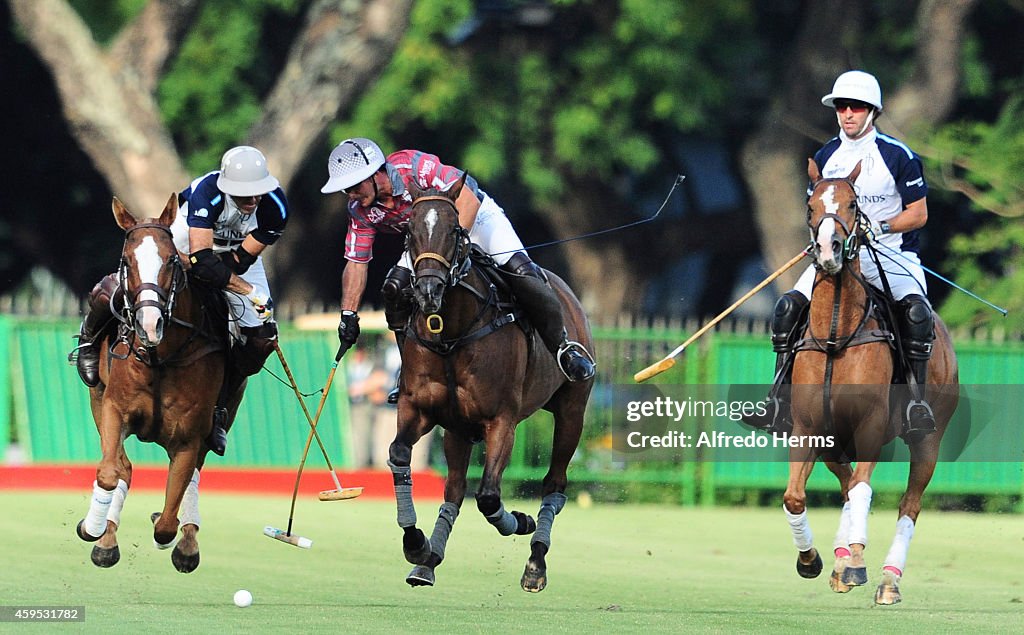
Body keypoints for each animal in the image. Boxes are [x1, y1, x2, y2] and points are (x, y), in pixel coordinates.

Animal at [74, 195, 234, 573]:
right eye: (126, 260)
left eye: (172, 259)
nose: (150, 324)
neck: (160, 357)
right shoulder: (114, 409)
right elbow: (111, 472)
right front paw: (92, 529)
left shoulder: (189, 436)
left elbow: (168, 521)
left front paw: (175, 537)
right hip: (96, 397)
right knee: (122, 466)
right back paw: (104, 537)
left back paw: (185, 541)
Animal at [385, 177, 598, 589]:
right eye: (409, 231)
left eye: (454, 229)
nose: (428, 291)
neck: (451, 333)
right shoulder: (418, 409)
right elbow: (399, 454)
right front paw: (415, 545)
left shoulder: (502, 420)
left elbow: (488, 495)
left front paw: (521, 520)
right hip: (457, 430)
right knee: (454, 488)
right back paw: (428, 562)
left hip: (572, 410)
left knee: (555, 483)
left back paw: (536, 562)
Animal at [782, 159, 958, 606]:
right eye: (810, 206)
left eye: (852, 203)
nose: (827, 251)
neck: (835, 335)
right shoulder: (809, 427)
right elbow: (796, 497)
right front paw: (814, 560)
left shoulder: (872, 423)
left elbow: (863, 489)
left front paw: (857, 562)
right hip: (834, 439)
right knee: (847, 483)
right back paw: (841, 559)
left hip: (928, 437)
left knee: (909, 504)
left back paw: (888, 579)